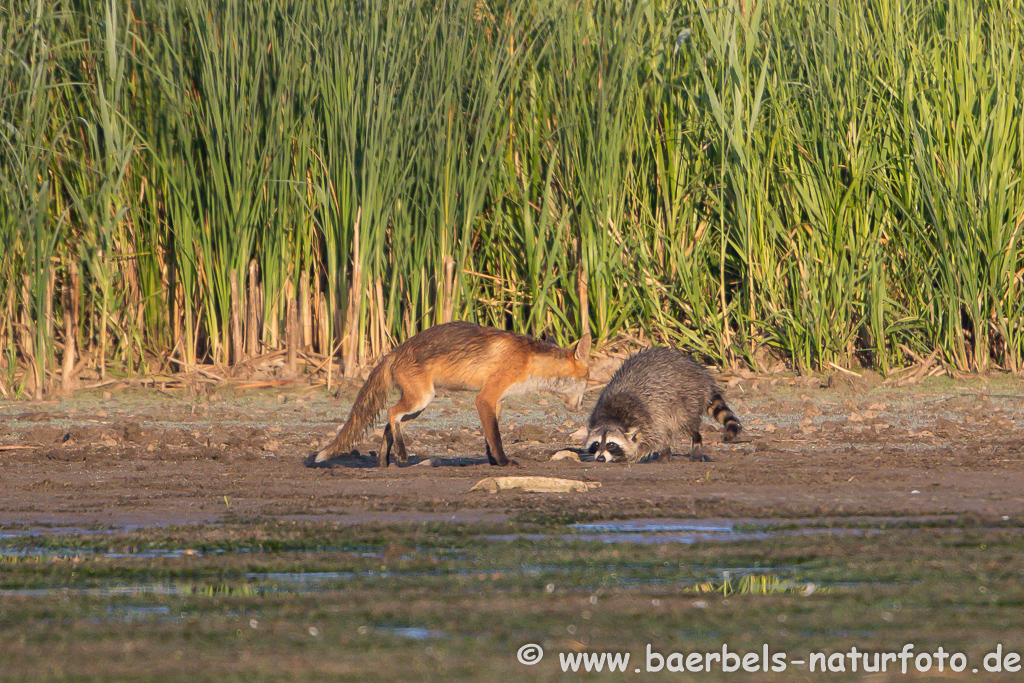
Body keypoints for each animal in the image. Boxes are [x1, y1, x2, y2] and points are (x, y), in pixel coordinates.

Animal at [305, 323, 593, 466]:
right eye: (588, 380)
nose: (581, 408)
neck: (529, 360)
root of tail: (394, 351)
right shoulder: (485, 398)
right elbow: (496, 438)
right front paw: (503, 463)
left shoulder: (497, 401)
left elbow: (489, 436)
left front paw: (492, 461)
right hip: (419, 400)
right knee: (390, 413)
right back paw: (401, 455)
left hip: (420, 407)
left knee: (389, 425)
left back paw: (386, 461)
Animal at [589, 348, 741, 464]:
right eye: (596, 444)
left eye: (611, 445)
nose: (600, 458)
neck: (612, 417)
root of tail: (702, 374)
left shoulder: (645, 419)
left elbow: (652, 440)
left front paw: (631, 456)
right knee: (667, 430)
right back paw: (665, 454)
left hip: (687, 398)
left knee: (686, 424)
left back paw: (695, 441)